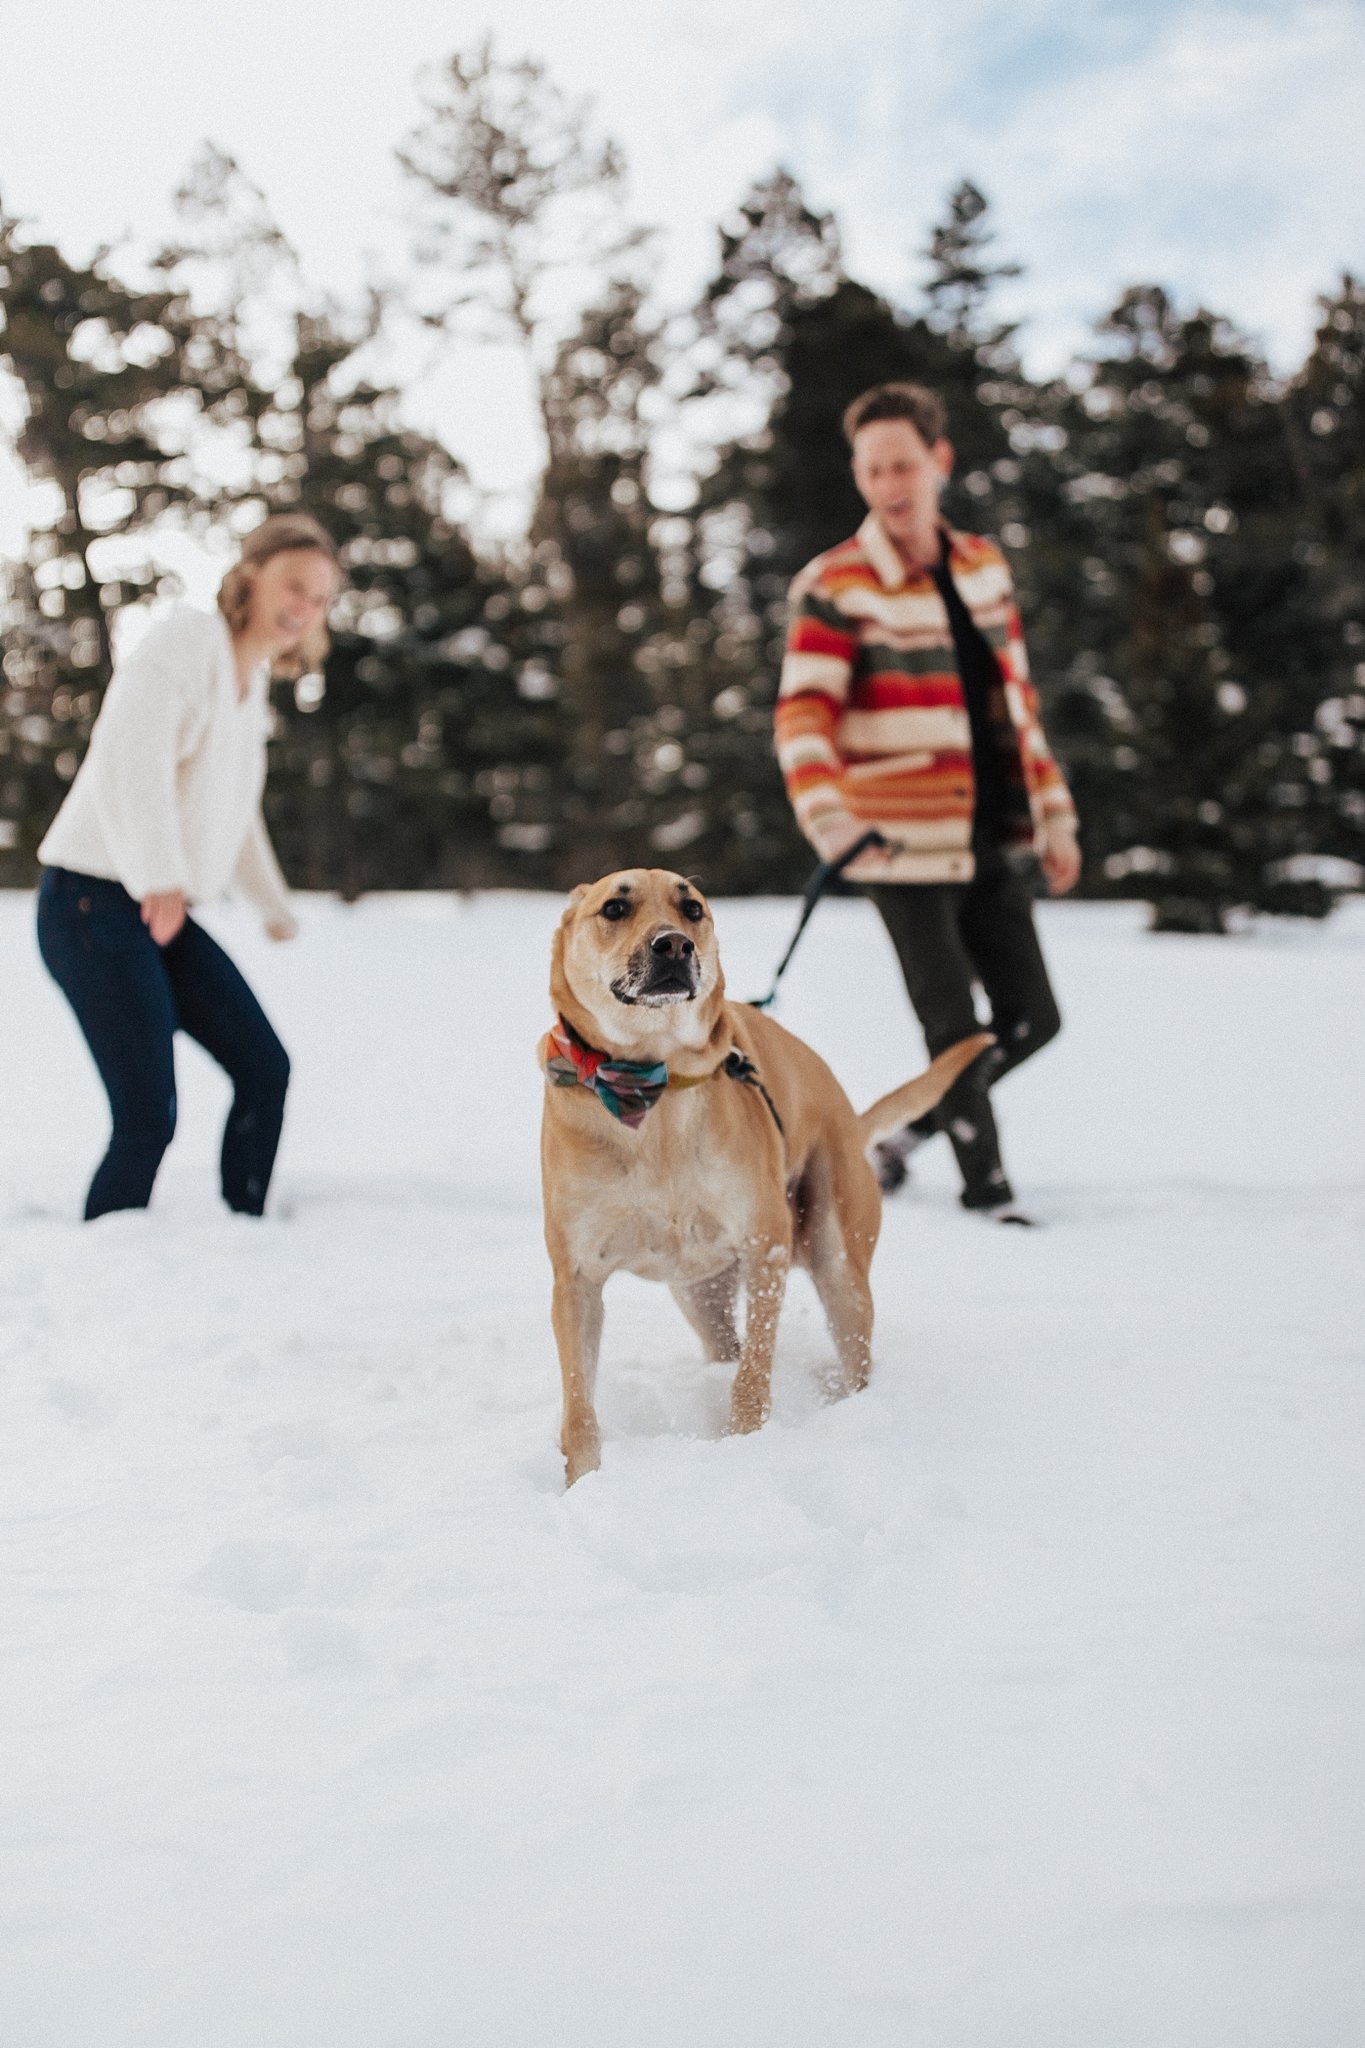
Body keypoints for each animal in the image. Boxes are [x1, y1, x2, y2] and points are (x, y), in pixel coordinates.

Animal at [540, 868, 994, 1490]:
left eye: (692, 909)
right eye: (614, 908)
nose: (674, 945)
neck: (653, 1086)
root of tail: (850, 1118)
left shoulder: (766, 1247)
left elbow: (754, 1374)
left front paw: (743, 1445)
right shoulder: (577, 1278)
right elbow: (578, 1406)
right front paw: (583, 1484)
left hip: (838, 1265)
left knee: (852, 1356)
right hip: (701, 1295)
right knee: (723, 1345)